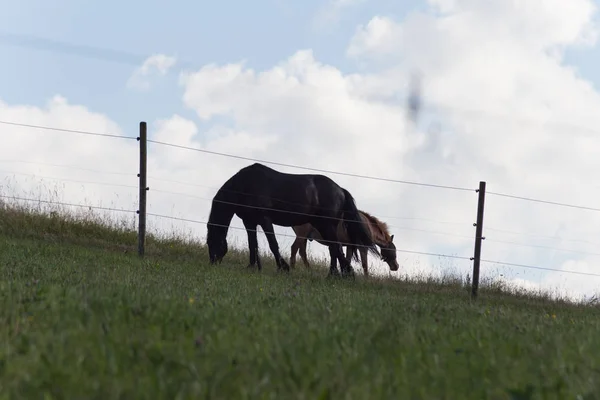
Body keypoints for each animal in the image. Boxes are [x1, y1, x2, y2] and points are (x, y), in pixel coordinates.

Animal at [204, 162, 378, 278]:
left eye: (212, 241)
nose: (213, 262)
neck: (245, 185)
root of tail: (340, 190)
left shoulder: (265, 220)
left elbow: (273, 244)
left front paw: (283, 267)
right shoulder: (250, 222)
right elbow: (252, 244)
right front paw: (252, 267)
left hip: (327, 226)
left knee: (335, 248)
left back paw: (340, 274)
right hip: (324, 226)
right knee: (334, 249)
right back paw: (334, 274)